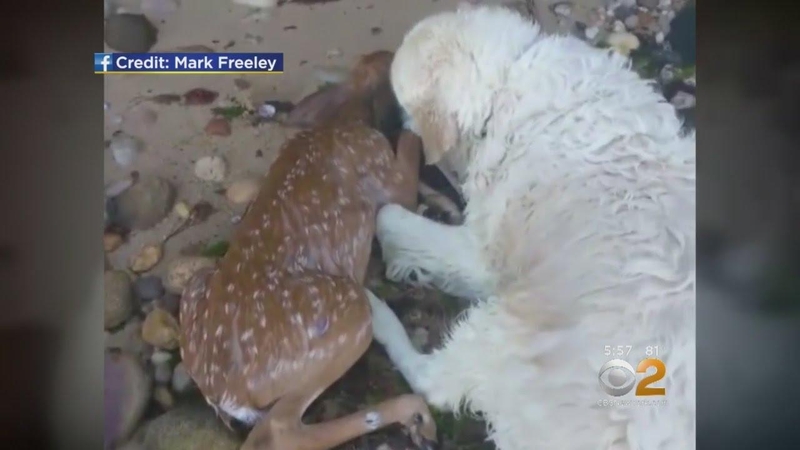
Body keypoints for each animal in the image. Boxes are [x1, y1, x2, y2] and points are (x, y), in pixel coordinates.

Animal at [368, 4, 692, 450]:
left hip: (511, 331)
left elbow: (389, 216)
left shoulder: (483, 256)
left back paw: (375, 313)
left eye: (401, 100)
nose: (382, 121)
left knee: (433, 384)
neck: (510, 75)